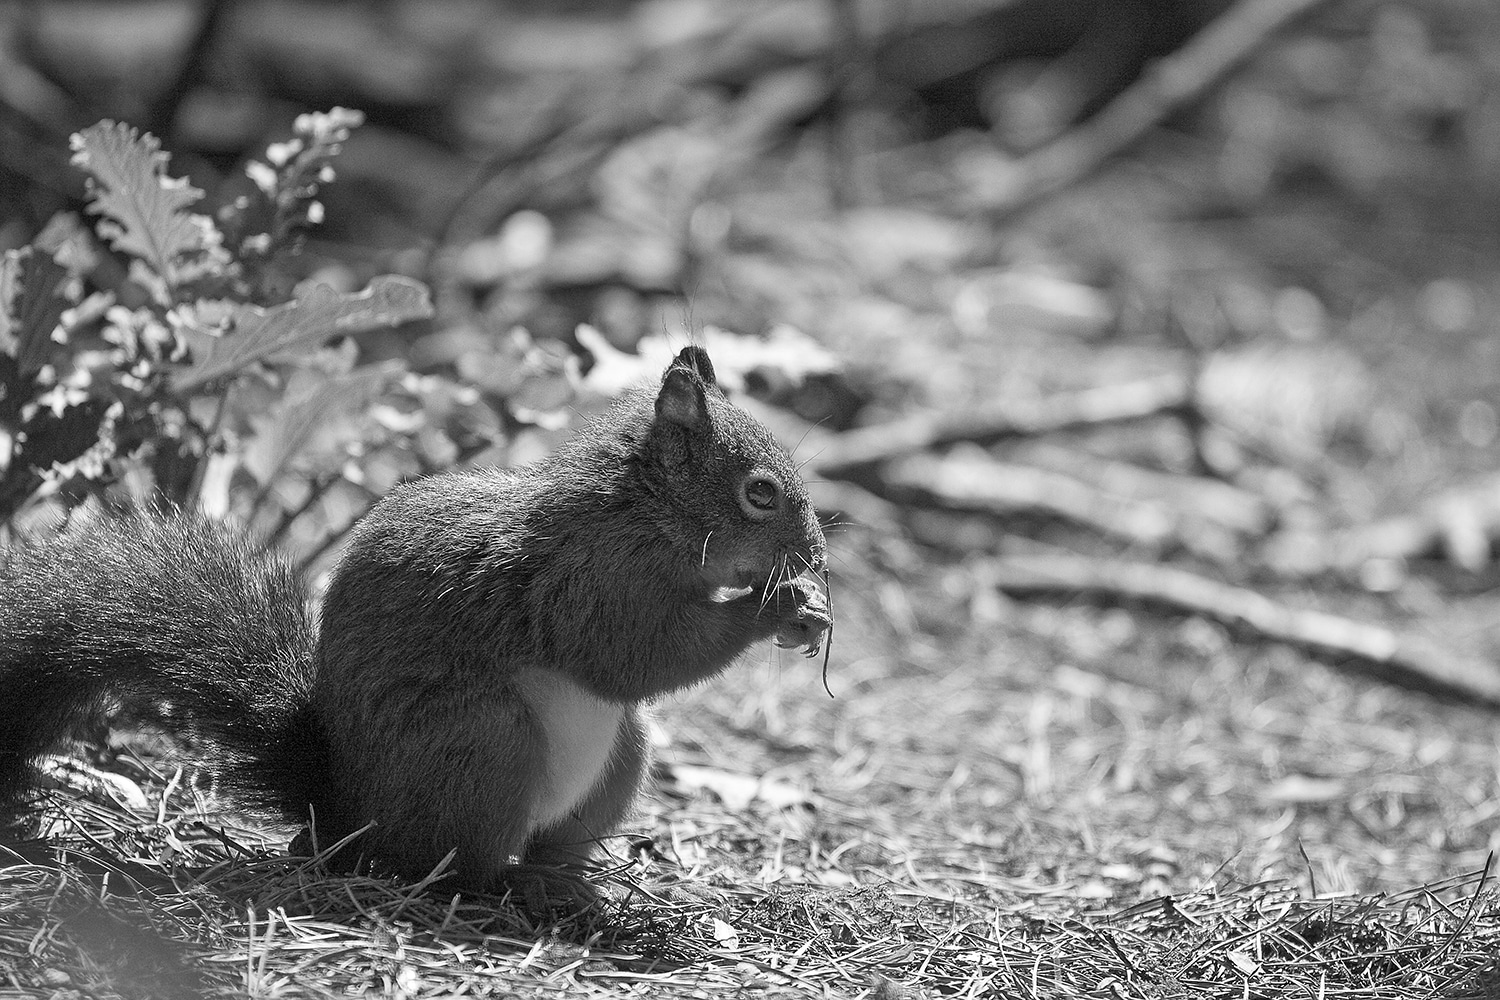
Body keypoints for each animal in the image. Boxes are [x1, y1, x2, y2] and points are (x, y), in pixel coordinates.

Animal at [0, 346, 834, 893]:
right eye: (760, 493)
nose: (817, 553)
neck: (643, 511)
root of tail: (347, 816)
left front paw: (805, 613)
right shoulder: (591, 579)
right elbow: (637, 656)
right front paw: (773, 607)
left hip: (621, 752)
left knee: (556, 835)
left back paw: (568, 882)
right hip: (485, 745)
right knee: (456, 864)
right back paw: (503, 887)